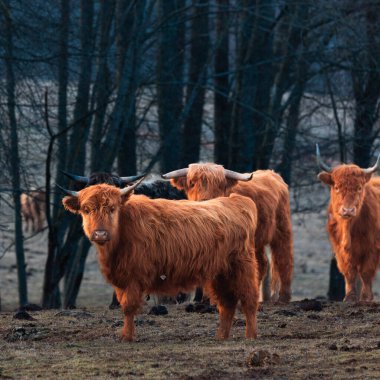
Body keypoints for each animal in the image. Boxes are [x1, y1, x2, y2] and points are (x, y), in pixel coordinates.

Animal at [60, 181, 260, 342]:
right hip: (220, 273)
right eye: (86, 210)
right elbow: (124, 305)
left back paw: (250, 336)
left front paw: (127, 337)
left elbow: (129, 307)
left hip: (243, 267)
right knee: (227, 304)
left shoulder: (134, 277)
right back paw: (221, 336)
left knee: (249, 299)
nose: (100, 234)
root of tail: (236, 201)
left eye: (112, 208)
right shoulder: (121, 279)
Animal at [163, 163, 294, 302]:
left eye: (219, 185)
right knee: (262, 263)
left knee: (284, 258)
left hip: (282, 228)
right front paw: (201, 299)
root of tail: (273, 174)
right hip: (257, 240)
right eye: (192, 183)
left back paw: (284, 297)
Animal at [318, 144, 380, 302]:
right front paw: (350, 297)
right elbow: (349, 272)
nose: (348, 210)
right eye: (337, 187)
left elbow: (366, 272)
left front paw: (366, 297)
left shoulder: (373, 248)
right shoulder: (340, 249)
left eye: (359, 188)